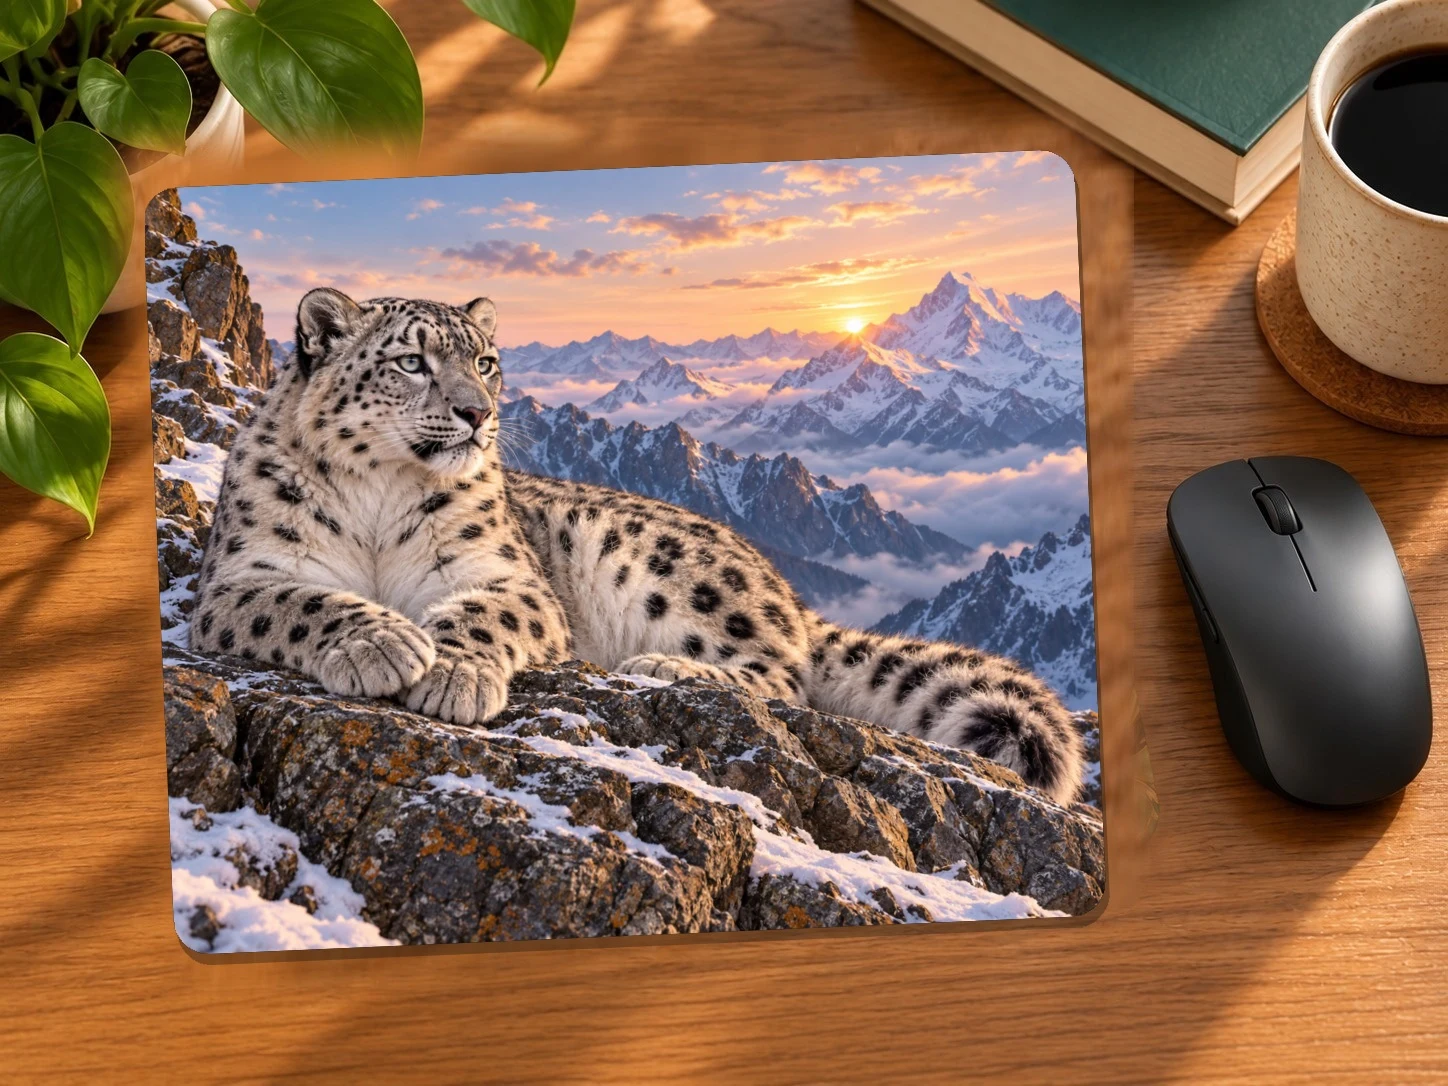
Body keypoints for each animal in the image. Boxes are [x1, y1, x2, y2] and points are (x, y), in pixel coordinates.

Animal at [189, 288, 1086, 804]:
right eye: (412, 361)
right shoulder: (240, 579)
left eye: (487, 361)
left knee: (784, 677)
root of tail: (783, 586)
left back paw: (664, 667)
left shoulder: (505, 576)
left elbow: (480, 615)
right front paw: (381, 643)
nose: (479, 412)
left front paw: (450, 673)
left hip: (663, 571)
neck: (382, 494)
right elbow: (303, 602)